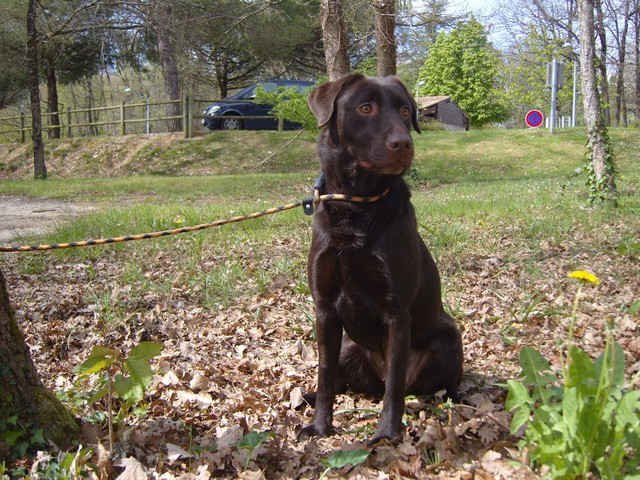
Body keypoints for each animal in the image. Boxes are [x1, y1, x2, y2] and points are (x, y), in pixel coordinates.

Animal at [302, 73, 462, 444]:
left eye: (404, 111)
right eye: (365, 107)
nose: (404, 144)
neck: (355, 205)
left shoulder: (396, 311)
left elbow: (395, 387)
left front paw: (388, 434)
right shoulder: (324, 309)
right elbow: (324, 374)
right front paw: (320, 426)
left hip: (448, 339)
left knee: (424, 385)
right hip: (349, 347)